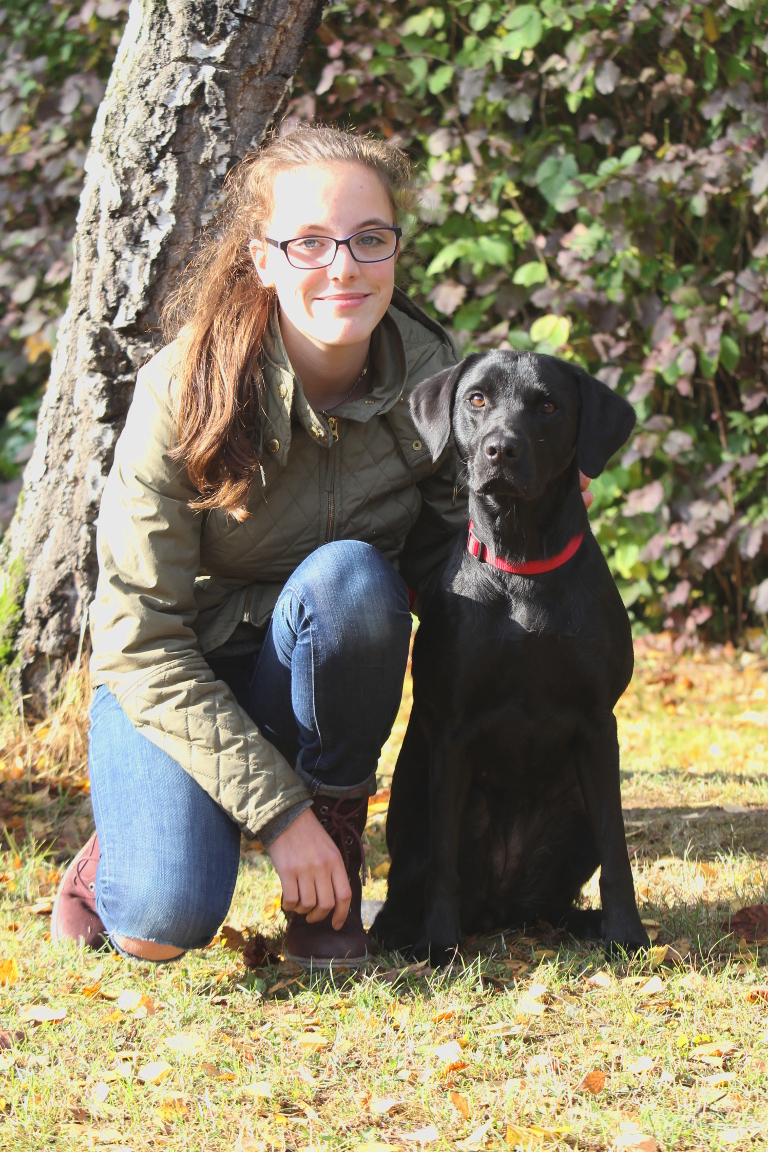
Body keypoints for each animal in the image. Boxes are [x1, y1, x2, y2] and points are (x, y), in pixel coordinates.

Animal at [373, 350, 649, 963]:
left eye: (547, 406)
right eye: (477, 398)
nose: (502, 448)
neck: (522, 566)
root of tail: (500, 910)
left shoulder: (599, 724)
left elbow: (618, 849)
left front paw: (628, 935)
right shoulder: (452, 731)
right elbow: (444, 865)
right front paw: (440, 945)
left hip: (573, 815)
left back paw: (582, 923)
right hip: (414, 801)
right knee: (412, 879)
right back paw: (396, 932)